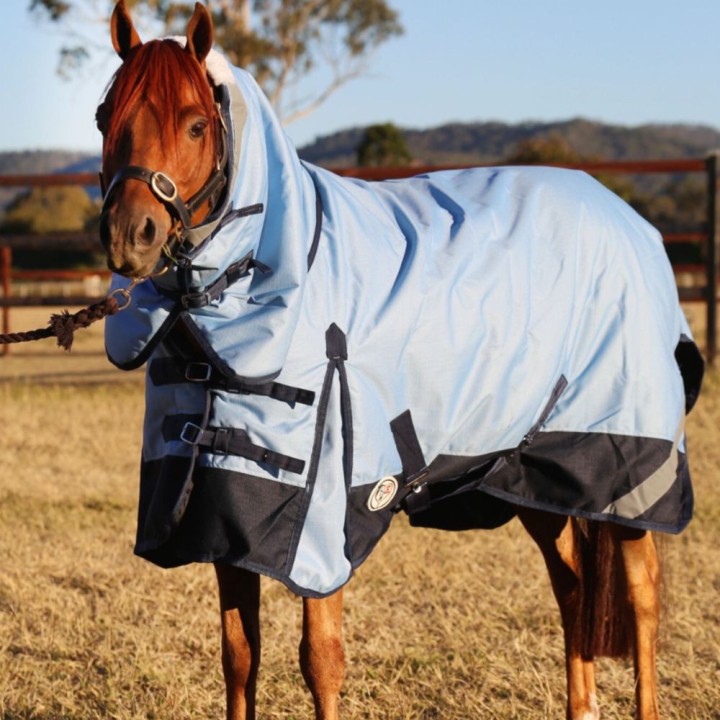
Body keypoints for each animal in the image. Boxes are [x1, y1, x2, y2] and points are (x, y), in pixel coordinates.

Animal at [97, 2, 703, 719]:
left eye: (195, 123)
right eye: (105, 116)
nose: (128, 236)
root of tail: (632, 220)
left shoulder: (323, 520)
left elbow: (320, 661)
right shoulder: (222, 516)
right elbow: (240, 657)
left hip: (623, 470)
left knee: (641, 599)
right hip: (537, 475)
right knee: (575, 588)